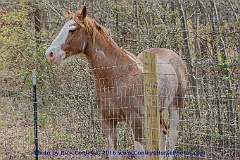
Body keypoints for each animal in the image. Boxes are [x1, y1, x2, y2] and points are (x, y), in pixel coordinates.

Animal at [44, 6, 188, 160]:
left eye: (72, 30)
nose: (50, 54)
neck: (116, 77)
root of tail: (174, 56)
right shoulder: (108, 120)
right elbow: (113, 153)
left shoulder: (135, 120)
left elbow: (139, 152)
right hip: (156, 112)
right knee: (163, 132)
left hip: (176, 106)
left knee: (172, 137)